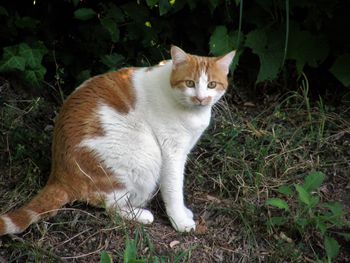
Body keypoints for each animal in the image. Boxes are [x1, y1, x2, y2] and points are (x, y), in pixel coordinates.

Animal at [0, 45, 235, 235]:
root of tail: (58, 175)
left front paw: (184, 213)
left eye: (212, 85)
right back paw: (142, 214)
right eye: (190, 83)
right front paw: (180, 221)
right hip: (145, 156)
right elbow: (174, 189)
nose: (200, 98)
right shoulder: (172, 153)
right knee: (110, 206)